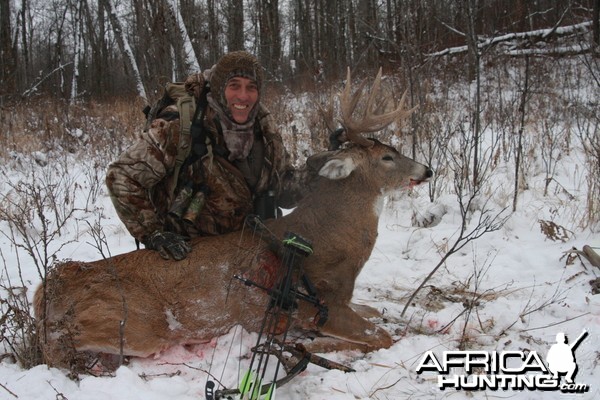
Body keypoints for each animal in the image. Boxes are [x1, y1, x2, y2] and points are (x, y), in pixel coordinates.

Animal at [32, 69, 432, 372]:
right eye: (386, 157)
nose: (426, 170)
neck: (327, 237)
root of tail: (47, 292)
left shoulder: (344, 298)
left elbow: (379, 311)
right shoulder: (317, 305)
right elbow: (381, 336)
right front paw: (312, 348)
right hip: (137, 327)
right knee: (64, 356)